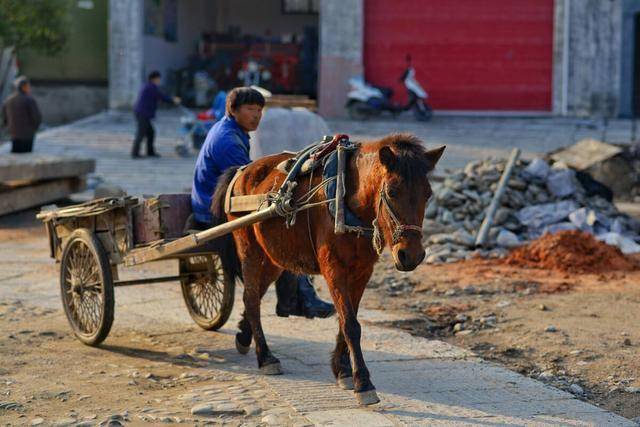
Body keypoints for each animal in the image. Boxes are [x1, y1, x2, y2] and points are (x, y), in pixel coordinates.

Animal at [210, 134, 444, 404]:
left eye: (428, 194)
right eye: (392, 191)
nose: (411, 255)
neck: (346, 200)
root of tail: (242, 170)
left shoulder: (362, 272)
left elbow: (347, 320)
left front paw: (342, 370)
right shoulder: (334, 270)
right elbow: (350, 324)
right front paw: (363, 382)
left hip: (273, 258)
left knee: (255, 295)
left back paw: (244, 335)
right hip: (249, 249)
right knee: (250, 297)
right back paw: (265, 356)